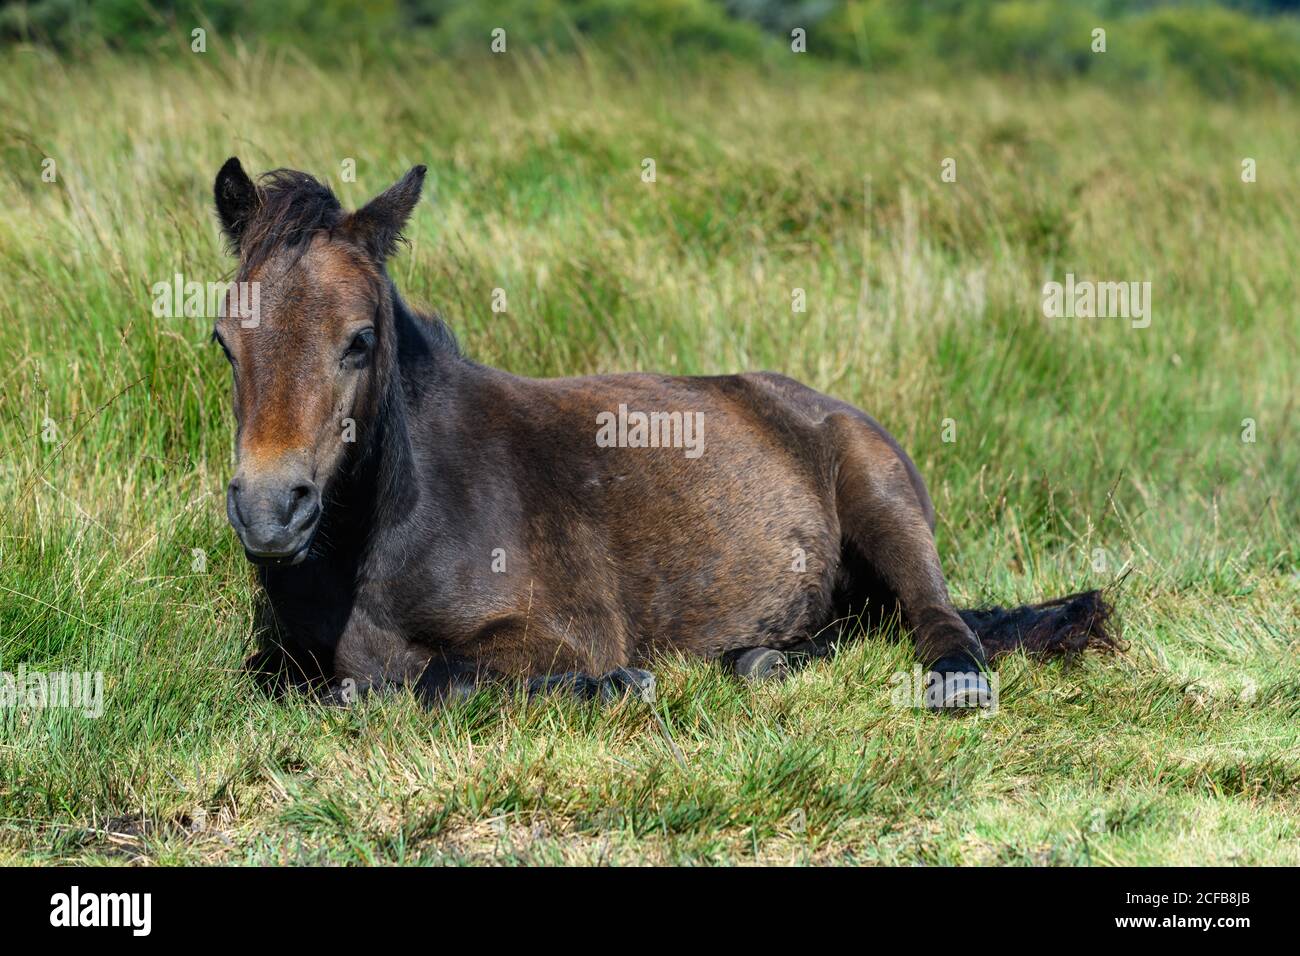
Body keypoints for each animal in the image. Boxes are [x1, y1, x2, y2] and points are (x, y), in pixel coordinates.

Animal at [211, 159, 1116, 711]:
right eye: (225, 340)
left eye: (359, 340)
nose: (270, 513)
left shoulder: (556, 635)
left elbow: (437, 684)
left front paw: (619, 686)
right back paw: (758, 659)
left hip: (883, 500)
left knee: (936, 618)